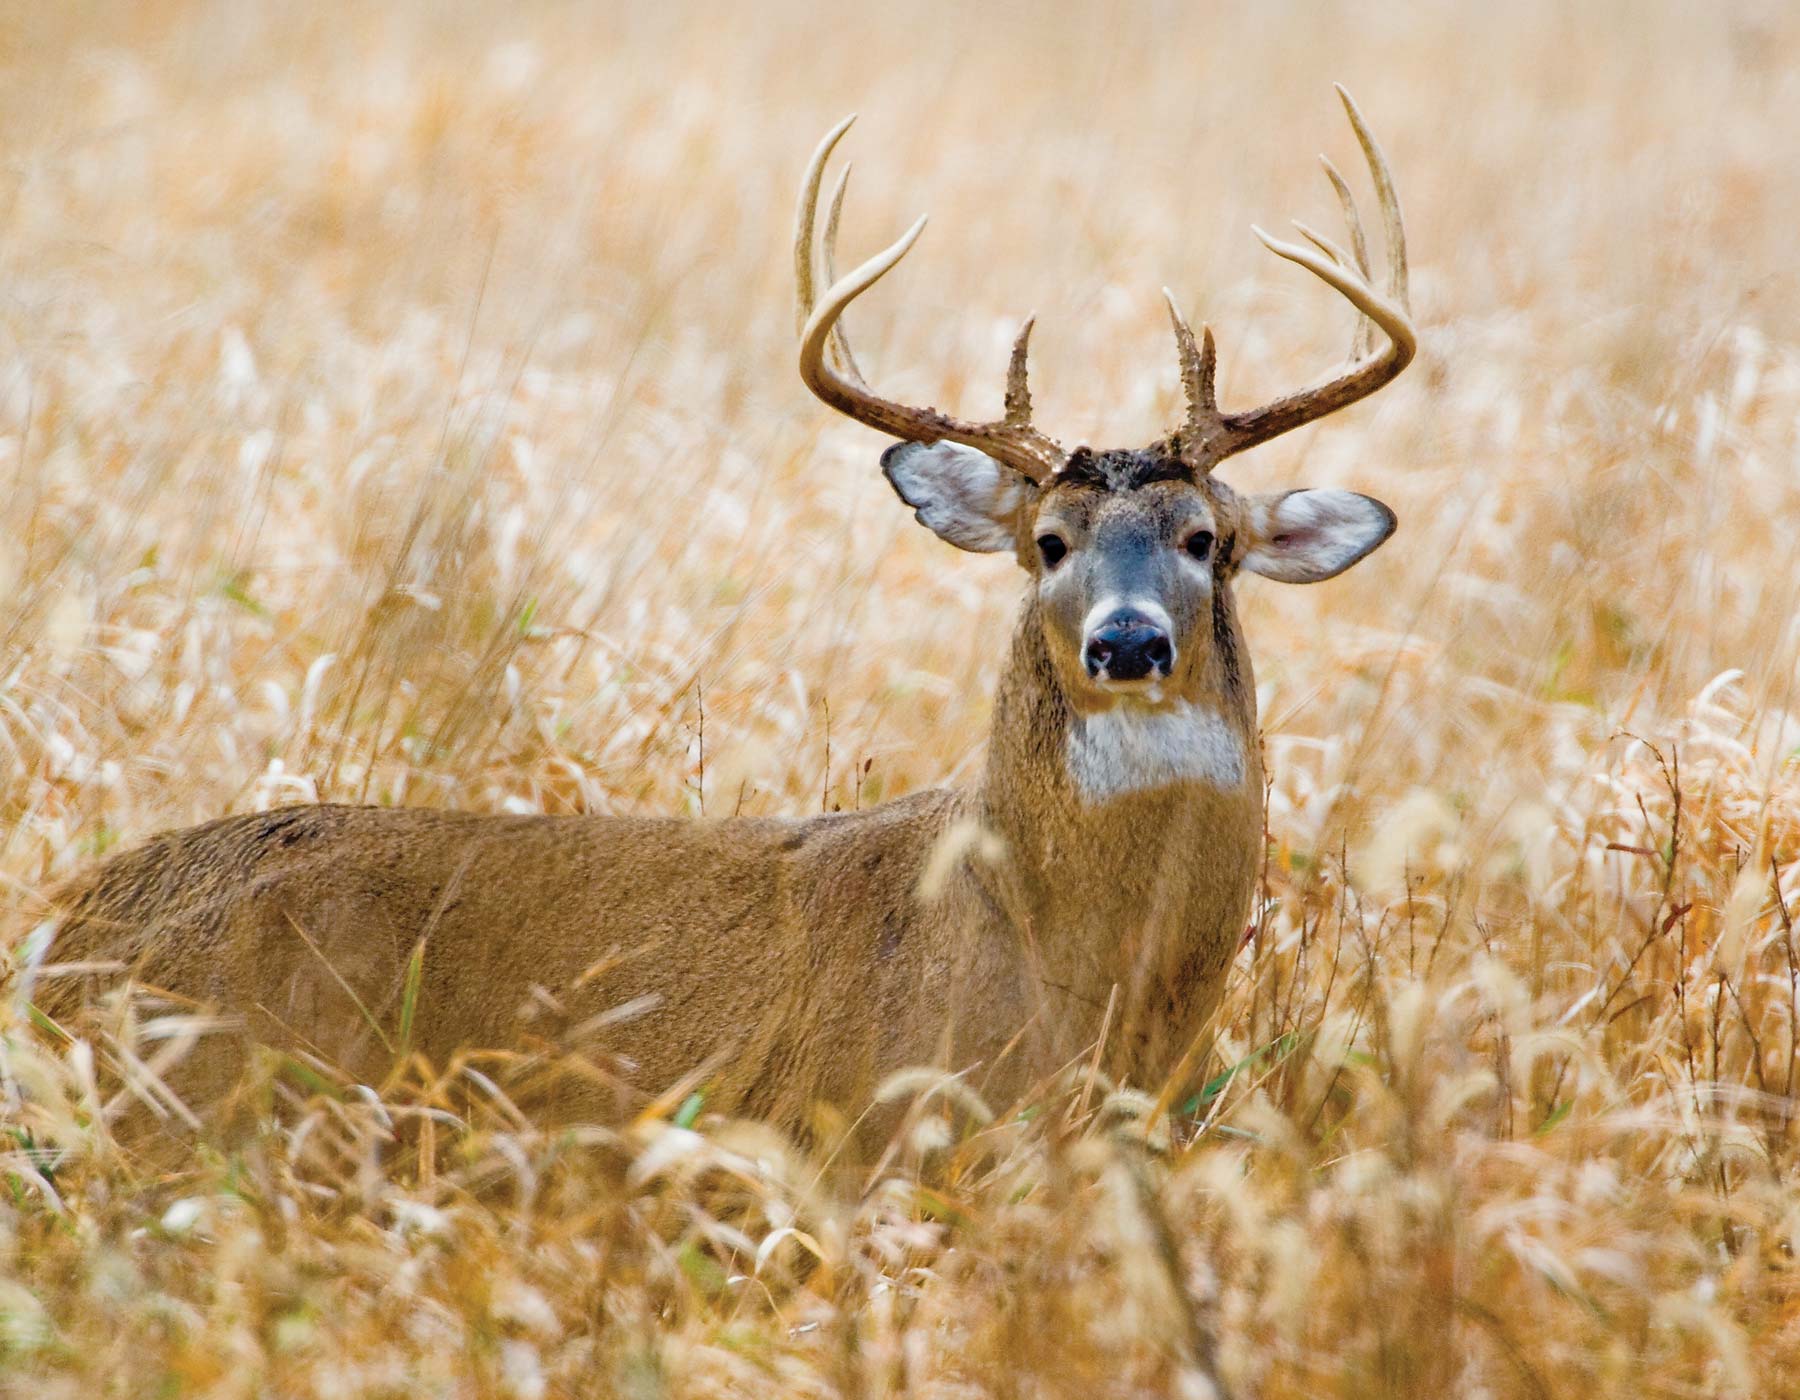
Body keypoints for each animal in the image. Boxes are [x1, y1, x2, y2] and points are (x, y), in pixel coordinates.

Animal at [31, 88, 1414, 1144]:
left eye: (1207, 539)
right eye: (1047, 542)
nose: (1126, 641)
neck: (1069, 973)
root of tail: (63, 938)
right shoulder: (850, 1132)